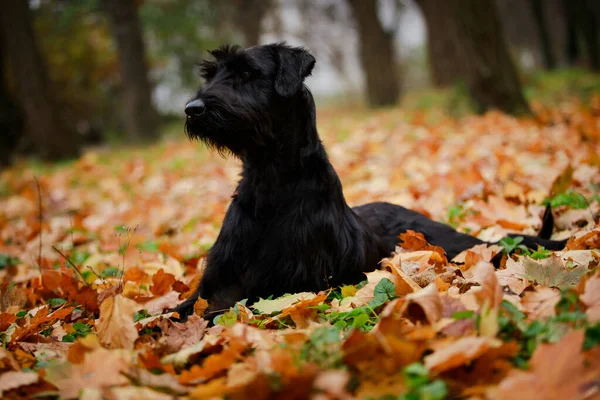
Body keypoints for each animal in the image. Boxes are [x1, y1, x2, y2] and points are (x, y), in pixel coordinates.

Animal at [172, 43, 564, 318]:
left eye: (247, 73)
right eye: (210, 73)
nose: (192, 110)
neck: (269, 180)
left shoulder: (293, 285)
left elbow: (230, 308)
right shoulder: (216, 280)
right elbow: (181, 310)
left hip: (455, 248)